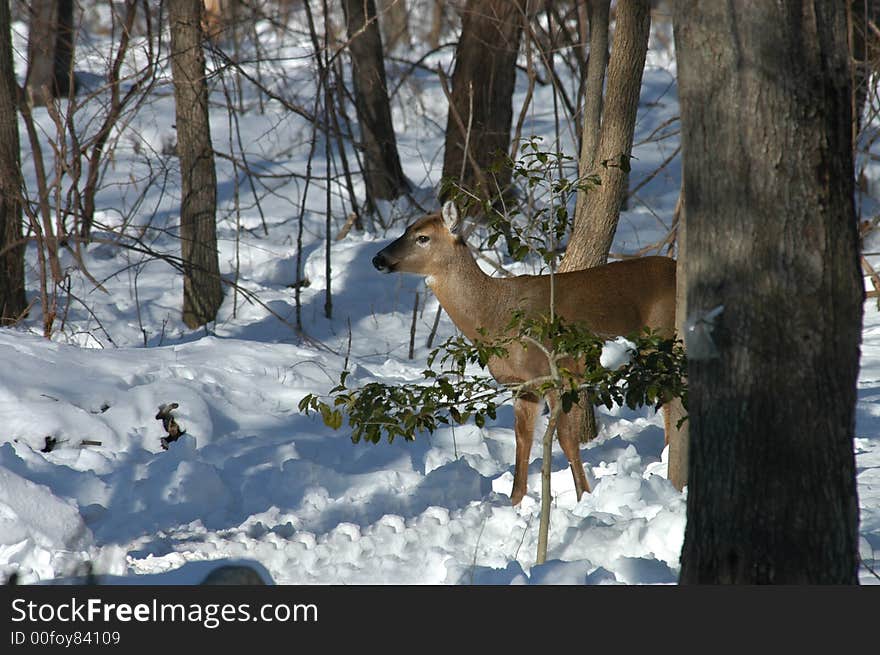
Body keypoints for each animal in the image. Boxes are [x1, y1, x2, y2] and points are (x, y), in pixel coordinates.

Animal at [374, 202, 676, 504]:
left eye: (423, 237)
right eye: (406, 229)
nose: (378, 259)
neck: (496, 314)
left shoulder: (557, 374)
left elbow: (565, 439)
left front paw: (584, 496)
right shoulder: (521, 385)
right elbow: (523, 438)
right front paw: (514, 501)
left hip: (664, 342)